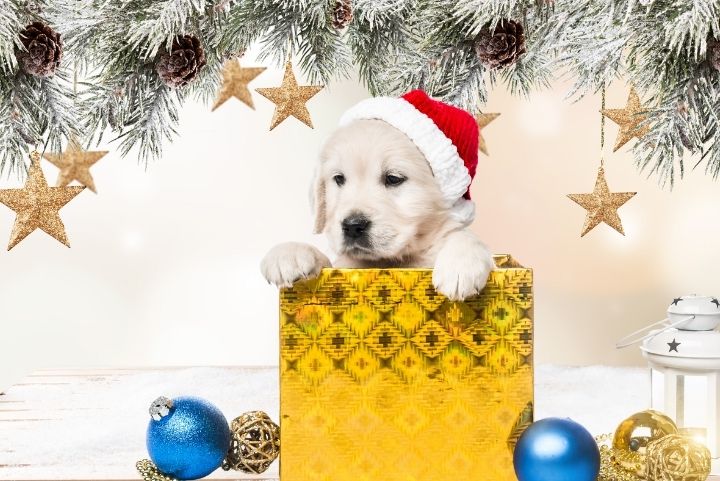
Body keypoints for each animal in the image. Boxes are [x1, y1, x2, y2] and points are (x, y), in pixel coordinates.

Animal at [260, 91, 496, 296]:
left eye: (393, 178)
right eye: (339, 179)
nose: (352, 226)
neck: (392, 261)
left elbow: (463, 236)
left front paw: (461, 263)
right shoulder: (344, 265)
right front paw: (289, 253)